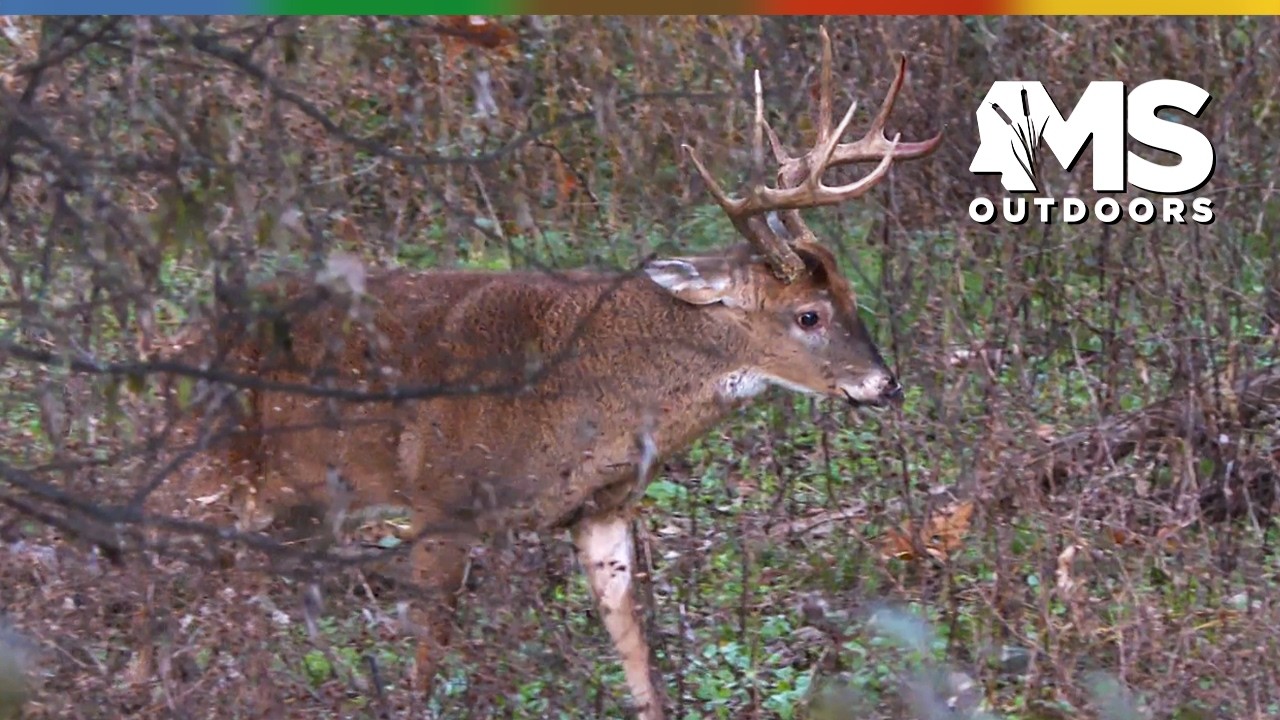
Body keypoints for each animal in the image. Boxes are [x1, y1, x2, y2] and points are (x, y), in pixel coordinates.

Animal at [182, 28, 941, 720]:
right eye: (809, 315)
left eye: (854, 296)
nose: (886, 384)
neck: (586, 402)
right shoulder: (442, 497)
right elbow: (428, 652)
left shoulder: (603, 511)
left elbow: (636, 652)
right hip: (214, 476)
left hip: (298, 504)